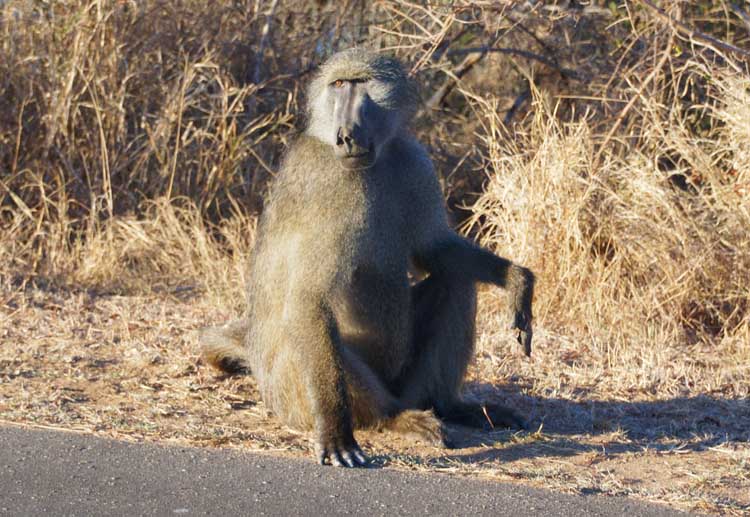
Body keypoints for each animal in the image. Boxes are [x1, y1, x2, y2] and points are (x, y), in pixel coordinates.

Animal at [199, 48, 535, 468]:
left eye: (361, 85)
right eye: (338, 85)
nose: (346, 135)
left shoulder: (414, 161)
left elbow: (433, 251)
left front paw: (518, 280)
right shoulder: (326, 188)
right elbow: (308, 299)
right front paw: (336, 434)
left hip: (408, 383)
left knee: (455, 281)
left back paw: (451, 406)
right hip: (295, 397)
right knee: (309, 333)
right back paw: (393, 419)